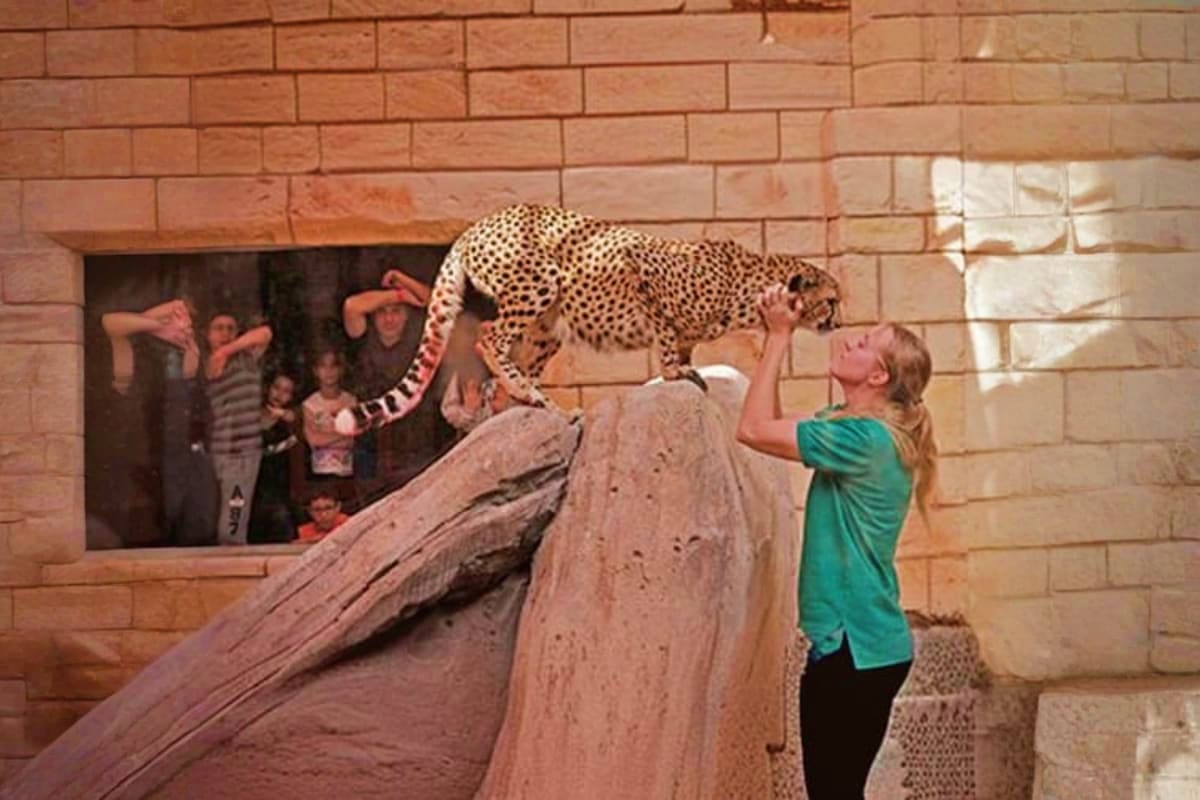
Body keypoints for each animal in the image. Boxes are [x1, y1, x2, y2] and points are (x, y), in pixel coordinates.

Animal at [334, 204, 842, 436]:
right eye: (832, 300)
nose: (838, 323)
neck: (749, 286)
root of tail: (478, 224)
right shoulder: (643, 272)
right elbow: (667, 338)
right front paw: (675, 371)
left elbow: (684, 342)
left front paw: (683, 366)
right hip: (540, 282)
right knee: (488, 335)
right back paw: (524, 391)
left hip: (549, 329)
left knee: (513, 358)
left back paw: (534, 401)